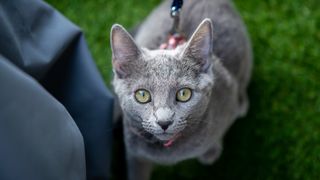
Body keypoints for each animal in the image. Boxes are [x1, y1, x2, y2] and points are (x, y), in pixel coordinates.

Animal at [110, 0, 252, 180]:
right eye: (142, 95)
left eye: (184, 94)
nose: (164, 122)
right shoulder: (134, 154)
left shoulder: (227, 99)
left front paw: (211, 151)